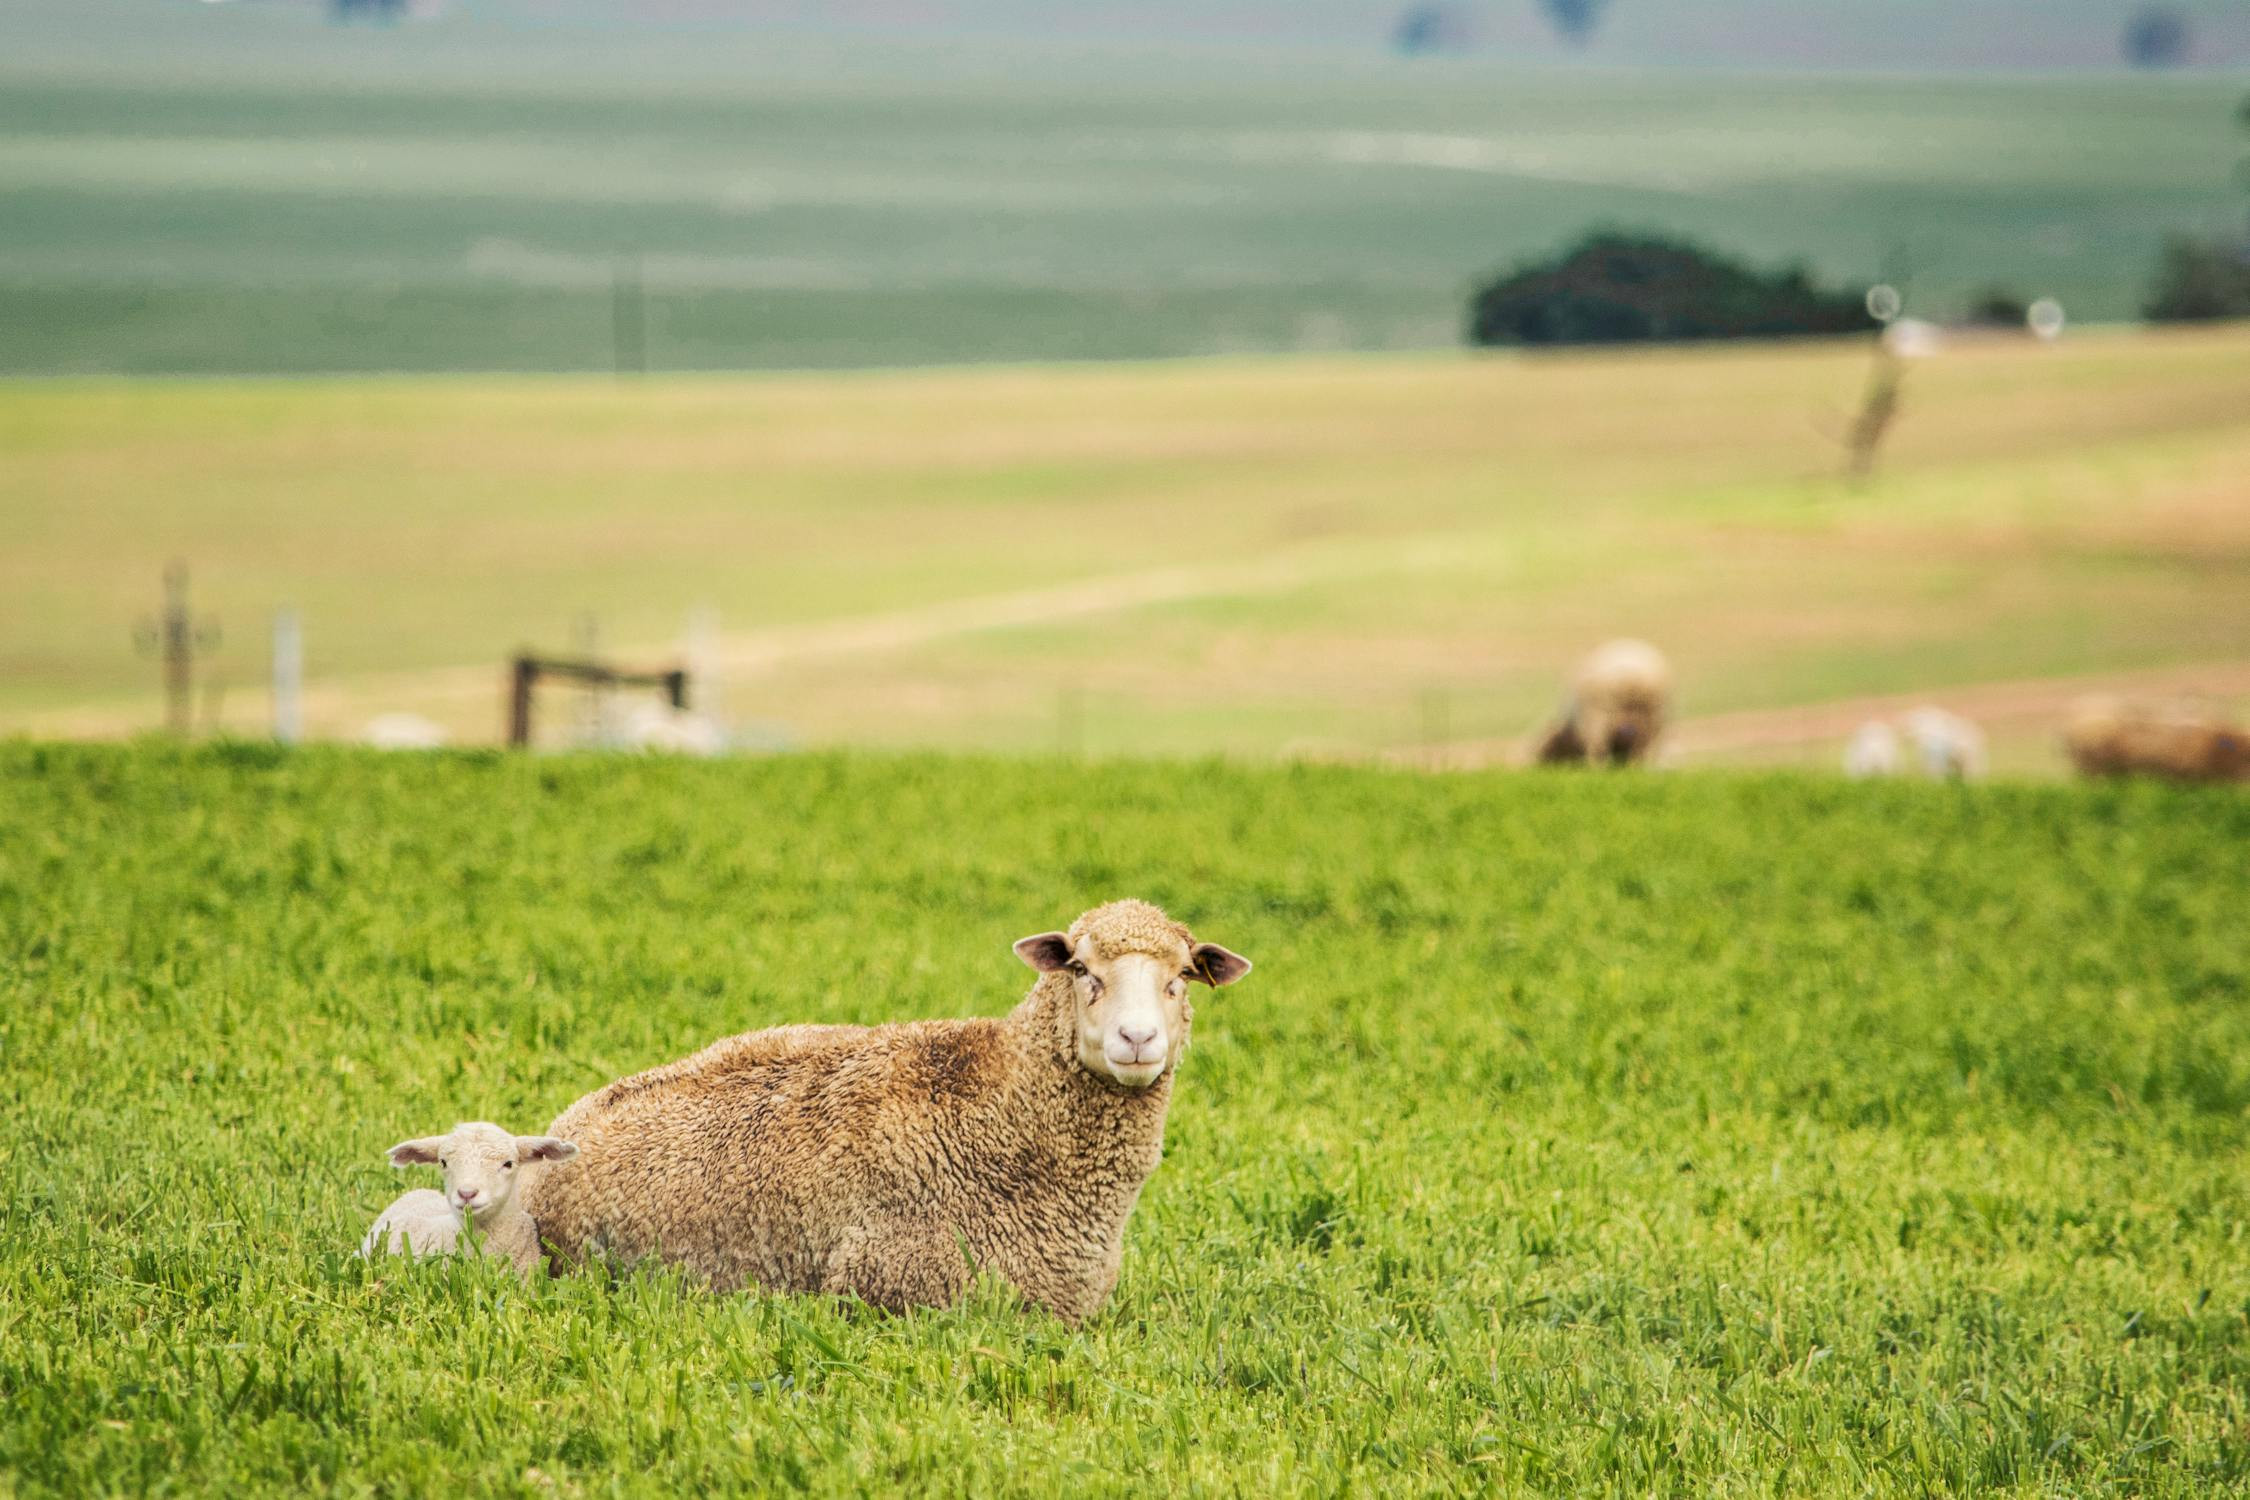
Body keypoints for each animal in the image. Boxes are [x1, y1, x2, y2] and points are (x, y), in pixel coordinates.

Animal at [522, 899, 1252, 1322]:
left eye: (1182, 977)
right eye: (1080, 969)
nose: (1138, 1039)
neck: (1002, 1112)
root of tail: (566, 1123)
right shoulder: (894, 1288)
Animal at [1536, 639, 1672, 766]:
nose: (1540, 763)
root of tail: (1633, 677)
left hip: (1600, 715)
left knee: (1599, 747)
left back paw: (1596, 767)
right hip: (1652, 715)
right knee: (1640, 746)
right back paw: (1633, 766)